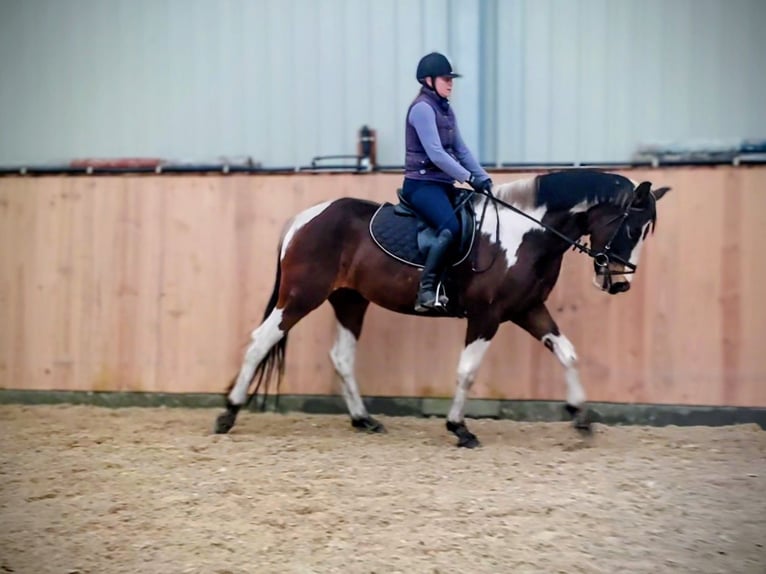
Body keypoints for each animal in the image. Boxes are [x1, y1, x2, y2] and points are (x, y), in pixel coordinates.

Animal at [214, 169, 670, 447]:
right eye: (632, 227)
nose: (620, 282)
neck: (527, 234)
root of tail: (303, 219)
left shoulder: (527, 309)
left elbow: (568, 353)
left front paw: (581, 417)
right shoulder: (488, 315)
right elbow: (467, 371)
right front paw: (460, 428)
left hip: (350, 299)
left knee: (341, 357)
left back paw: (364, 419)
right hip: (302, 295)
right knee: (260, 341)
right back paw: (228, 414)